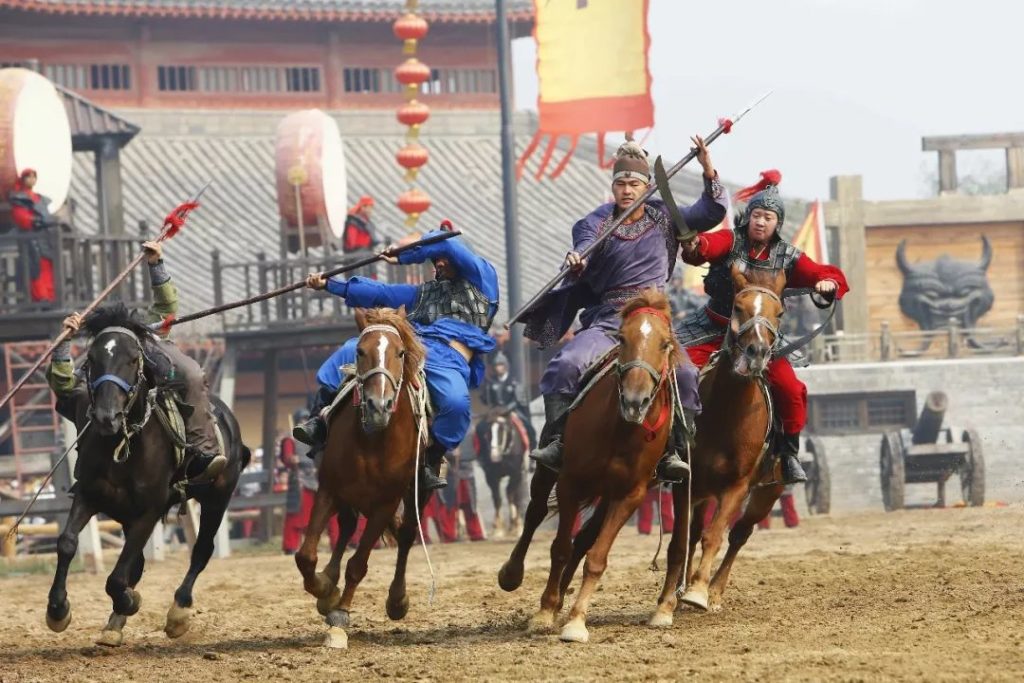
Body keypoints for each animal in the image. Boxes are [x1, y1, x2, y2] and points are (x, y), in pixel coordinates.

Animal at [44, 304, 249, 646]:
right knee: (138, 564)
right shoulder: (89, 496)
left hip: (217, 497)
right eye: (93, 359)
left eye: (131, 359)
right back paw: (114, 624)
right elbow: (68, 543)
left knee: (201, 550)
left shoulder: (149, 512)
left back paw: (178, 612)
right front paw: (58, 610)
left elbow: (118, 576)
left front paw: (129, 601)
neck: (124, 444)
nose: (106, 417)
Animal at [294, 306, 432, 649]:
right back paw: (329, 582)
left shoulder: (385, 504)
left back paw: (396, 599)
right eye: (359, 351)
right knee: (346, 526)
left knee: (407, 534)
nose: (379, 406)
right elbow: (306, 555)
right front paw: (324, 590)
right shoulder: (329, 489)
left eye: (400, 352)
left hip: (415, 494)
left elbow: (358, 565)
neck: (374, 439)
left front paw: (340, 615)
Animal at [498, 290, 682, 643]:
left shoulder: (629, 495)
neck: (621, 431)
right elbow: (559, 548)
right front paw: (544, 611)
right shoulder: (571, 483)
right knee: (535, 513)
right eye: (622, 338)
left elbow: (596, 558)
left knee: (584, 539)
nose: (635, 401)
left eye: (665, 343)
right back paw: (513, 574)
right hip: (548, 473)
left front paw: (575, 620)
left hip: (607, 495)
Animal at [648, 264, 788, 627]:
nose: (756, 354)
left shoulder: (737, 487)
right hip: (701, 492)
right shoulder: (686, 484)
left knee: (739, 534)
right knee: (696, 533)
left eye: (779, 312)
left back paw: (714, 592)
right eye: (738, 307)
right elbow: (680, 543)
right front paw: (665, 605)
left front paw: (699, 591)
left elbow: (716, 535)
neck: (727, 413)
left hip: (769, 492)